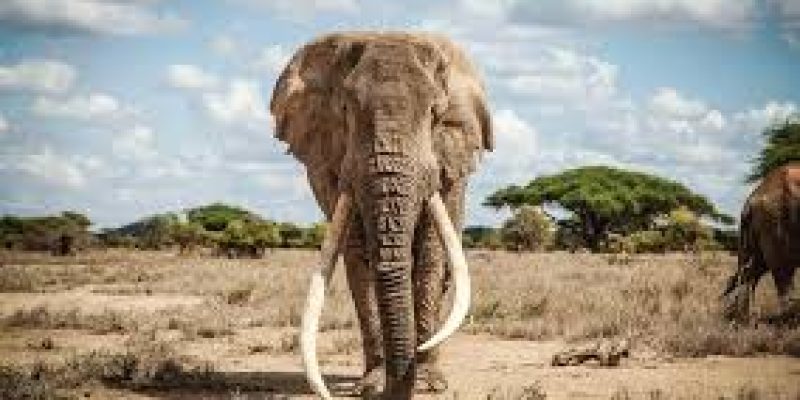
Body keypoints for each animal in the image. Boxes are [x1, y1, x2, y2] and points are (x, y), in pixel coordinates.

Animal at [269, 32, 492, 398]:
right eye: (345, 110)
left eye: (435, 114)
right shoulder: (334, 166)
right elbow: (359, 261)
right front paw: (372, 384)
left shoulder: (447, 163)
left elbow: (430, 258)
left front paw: (428, 384)